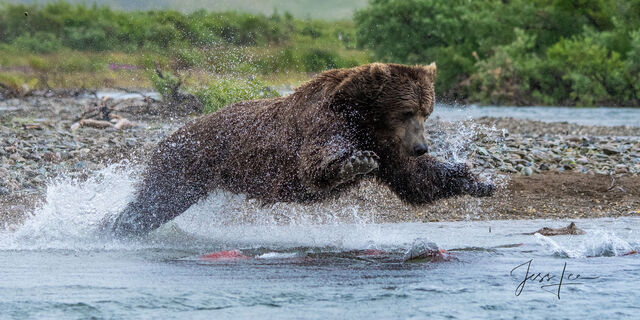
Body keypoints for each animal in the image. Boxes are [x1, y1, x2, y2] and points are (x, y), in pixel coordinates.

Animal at [106, 63, 496, 236]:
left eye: (426, 111)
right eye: (406, 111)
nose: (421, 147)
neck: (364, 118)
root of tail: (170, 135)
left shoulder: (388, 145)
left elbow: (414, 180)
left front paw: (478, 180)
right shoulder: (324, 121)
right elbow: (315, 162)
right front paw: (355, 162)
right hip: (186, 164)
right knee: (155, 201)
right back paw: (112, 227)